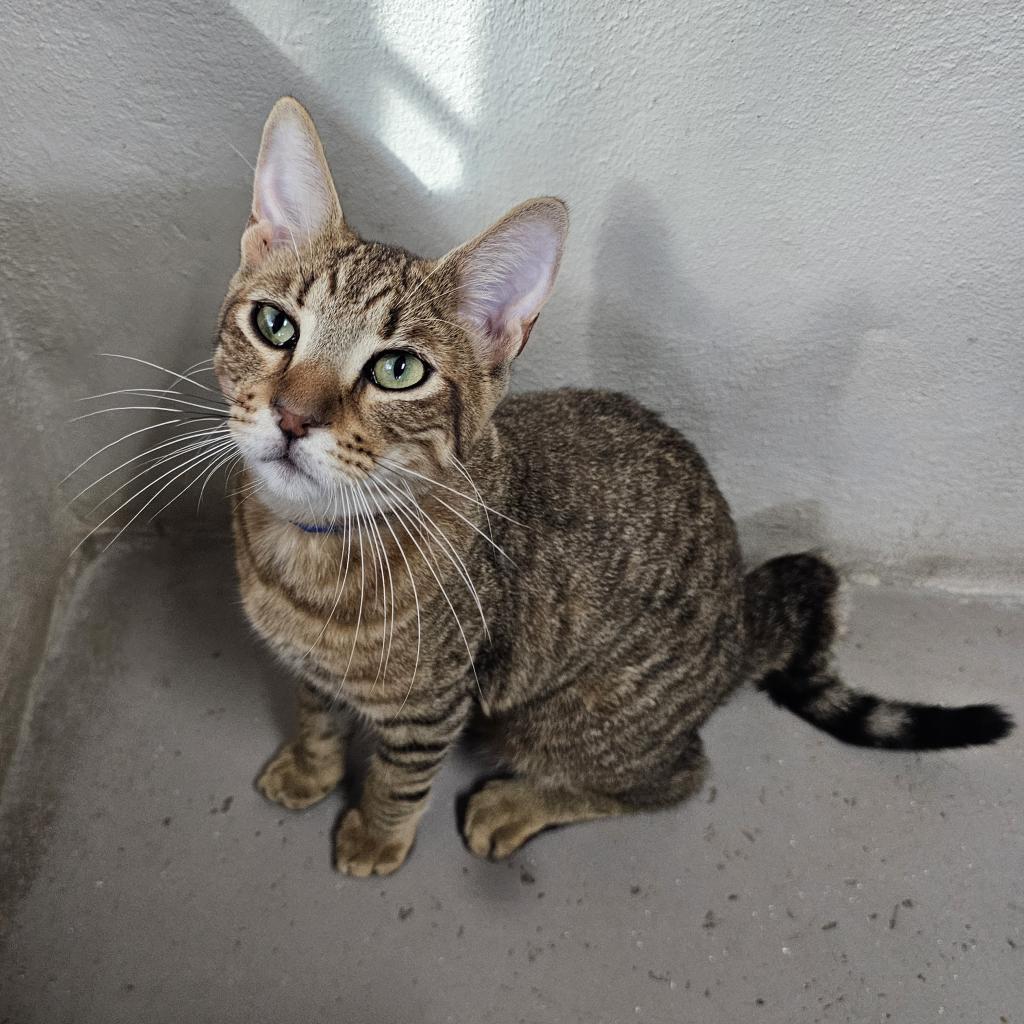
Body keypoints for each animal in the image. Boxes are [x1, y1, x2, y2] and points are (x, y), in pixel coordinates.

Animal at [211, 99, 1011, 876]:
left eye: (398, 370)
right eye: (275, 324)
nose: (293, 417)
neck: (306, 551)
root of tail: (740, 624)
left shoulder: (432, 705)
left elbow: (399, 777)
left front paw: (378, 837)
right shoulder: (314, 670)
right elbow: (316, 712)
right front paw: (311, 768)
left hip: (561, 717)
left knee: (675, 775)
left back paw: (519, 803)